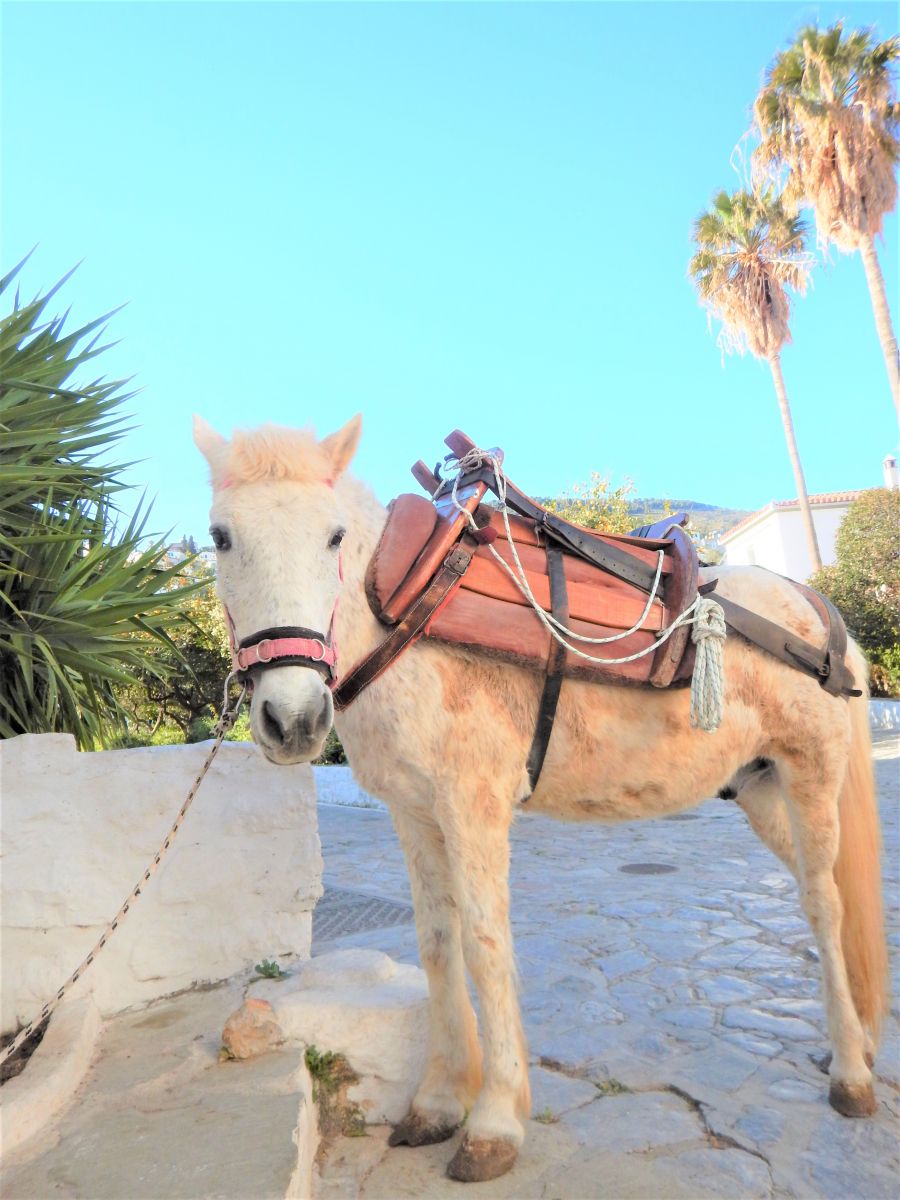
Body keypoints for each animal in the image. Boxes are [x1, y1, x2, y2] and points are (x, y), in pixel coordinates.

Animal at [193, 414, 887, 1183]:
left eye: (334, 536)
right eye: (222, 536)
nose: (292, 719)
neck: (403, 606)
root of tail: (815, 610)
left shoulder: (472, 807)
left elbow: (484, 944)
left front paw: (494, 1121)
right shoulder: (415, 815)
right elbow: (437, 945)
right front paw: (438, 1102)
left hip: (810, 776)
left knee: (824, 906)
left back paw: (852, 1072)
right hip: (764, 792)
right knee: (829, 894)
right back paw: (853, 1036)